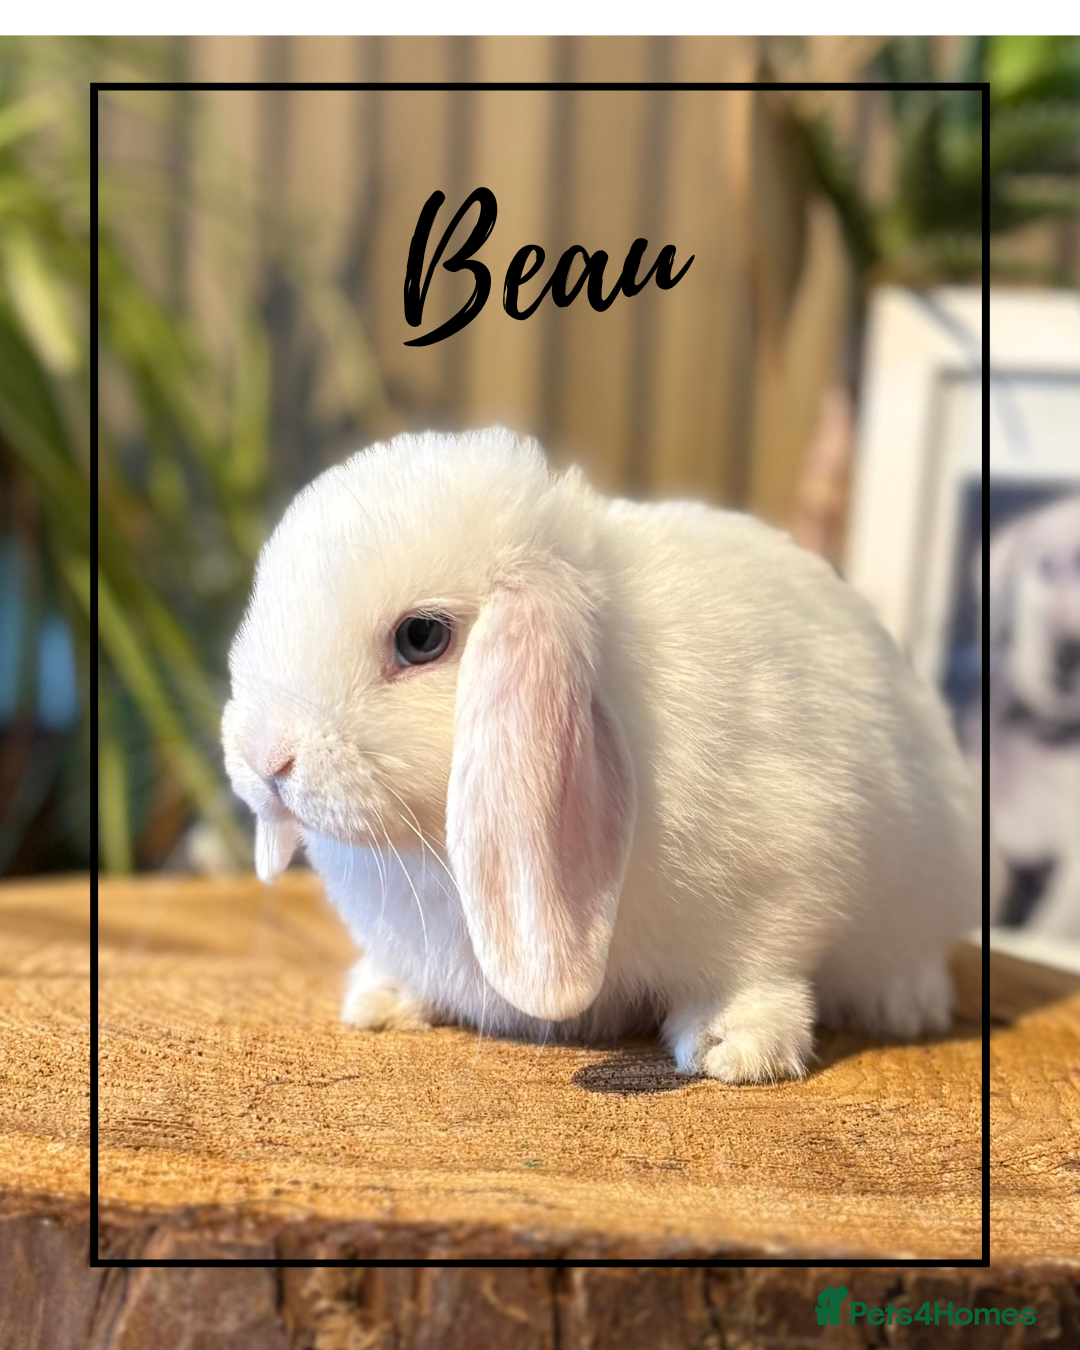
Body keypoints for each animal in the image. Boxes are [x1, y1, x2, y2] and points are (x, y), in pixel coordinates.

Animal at [222, 427, 981, 1083]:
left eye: (420, 638)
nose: (266, 757)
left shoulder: (785, 879)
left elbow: (754, 972)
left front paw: (734, 1051)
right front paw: (379, 1002)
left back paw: (905, 1007)